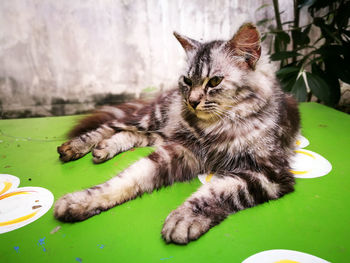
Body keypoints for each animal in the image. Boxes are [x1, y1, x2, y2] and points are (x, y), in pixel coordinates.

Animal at [55, 22, 300, 245]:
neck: (215, 128)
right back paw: (77, 147)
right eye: (188, 80)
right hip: (154, 119)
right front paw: (81, 201)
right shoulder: (181, 151)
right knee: (111, 126)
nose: (192, 101)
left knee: (131, 135)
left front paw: (184, 218)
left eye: (215, 81)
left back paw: (105, 148)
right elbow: (126, 178)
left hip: (163, 133)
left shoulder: (269, 174)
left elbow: (215, 191)